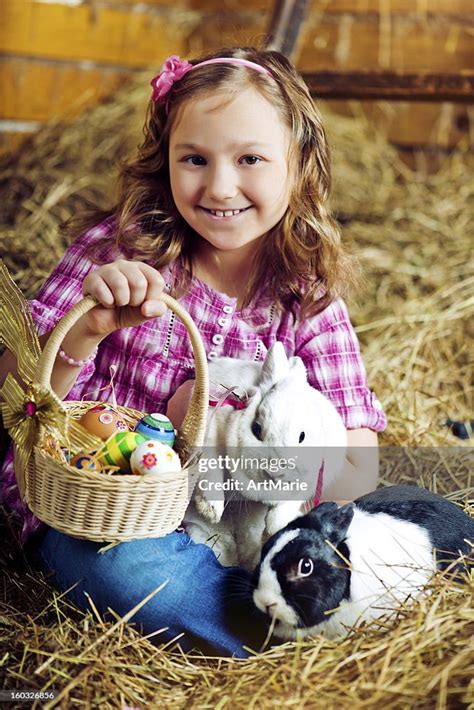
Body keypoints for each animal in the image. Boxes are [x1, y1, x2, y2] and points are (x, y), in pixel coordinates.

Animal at [183, 344, 346, 572]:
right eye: (257, 429)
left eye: (302, 436)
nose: (276, 471)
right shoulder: (211, 430)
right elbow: (211, 471)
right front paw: (211, 510)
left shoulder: (313, 476)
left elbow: (285, 506)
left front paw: (278, 526)